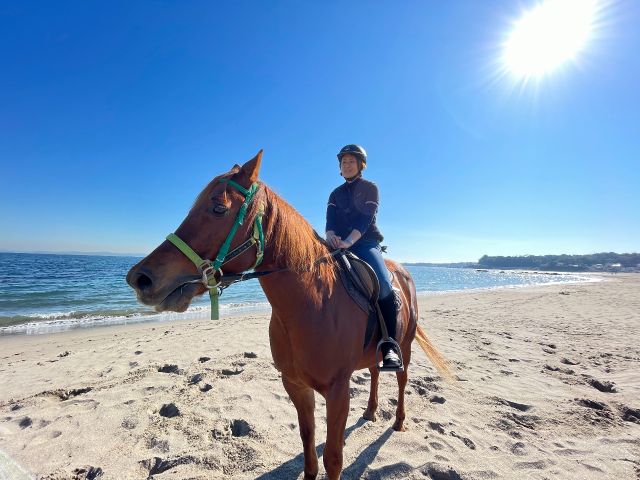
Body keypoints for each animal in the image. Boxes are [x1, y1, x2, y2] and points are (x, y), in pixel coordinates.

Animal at [126, 151, 450, 479]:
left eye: (218, 208)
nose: (140, 278)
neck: (312, 306)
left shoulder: (338, 392)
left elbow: (333, 458)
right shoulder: (295, 385)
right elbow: (308, 447)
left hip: (405, 346)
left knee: (402, 380)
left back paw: (398, 420)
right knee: (373, 372)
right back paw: (371, 411)